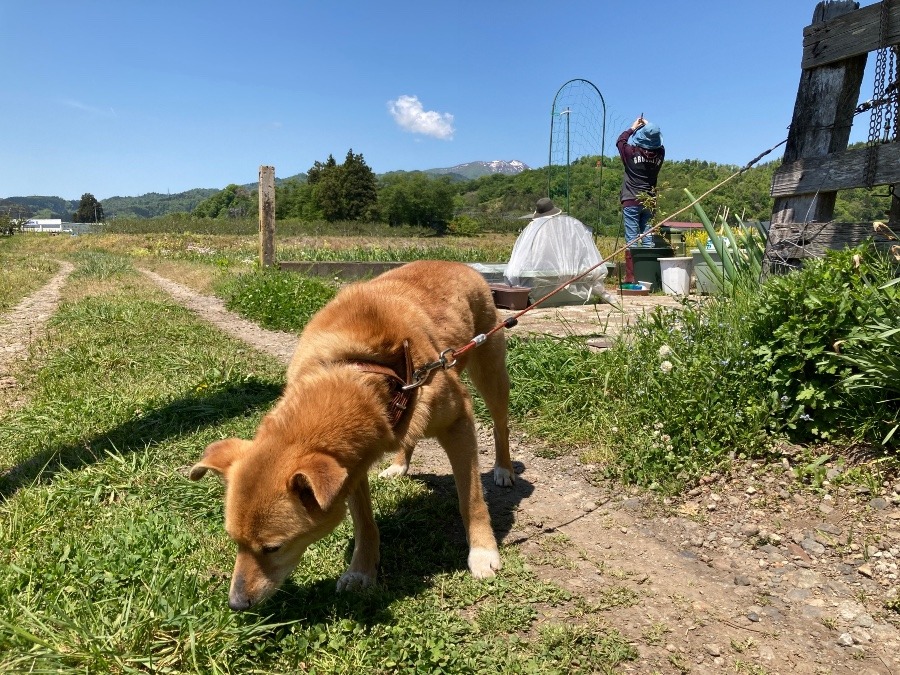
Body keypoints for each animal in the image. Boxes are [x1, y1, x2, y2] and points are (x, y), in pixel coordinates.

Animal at [190, 262, 512, 608]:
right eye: (234, 540)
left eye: (273, 548)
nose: (236, 604)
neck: (360, 372)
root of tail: (457, 263)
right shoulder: (351, 465)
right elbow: (364, 523)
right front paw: (361, 571)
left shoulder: (459, 422)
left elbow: (472, 499)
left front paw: (482, 552)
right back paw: (399, 465)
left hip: (491, 373)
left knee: (501, 425)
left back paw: (504, 469)